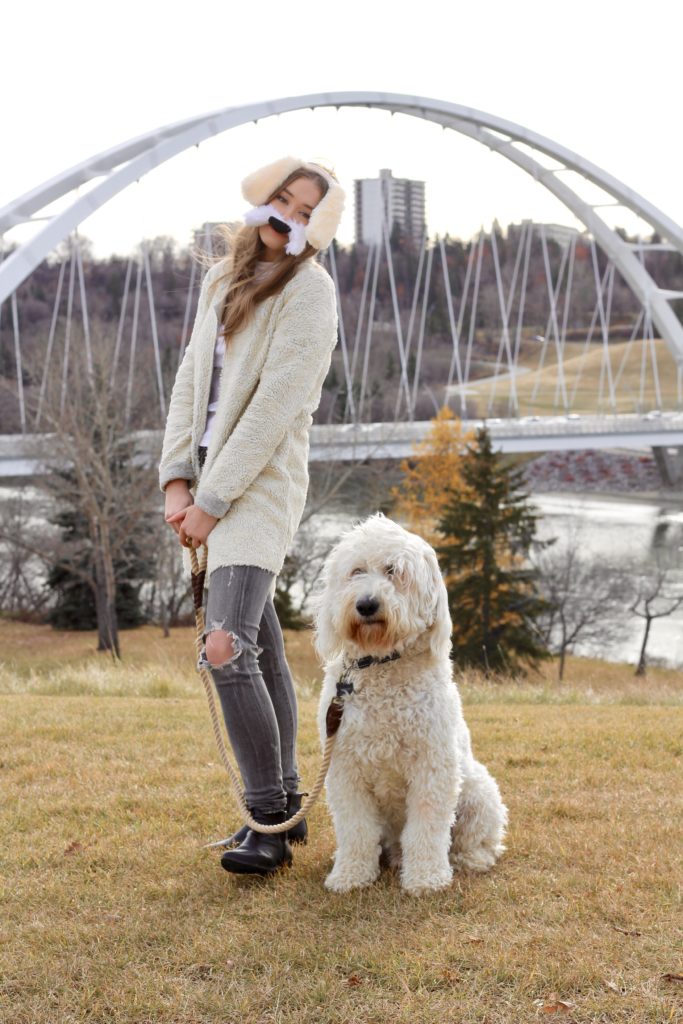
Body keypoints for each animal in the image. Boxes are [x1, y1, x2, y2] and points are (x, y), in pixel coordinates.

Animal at [313, 512, 507, 897]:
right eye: (357, 570)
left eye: (394, 571)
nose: (367, 604)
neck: (382, 663)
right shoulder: (345, 769)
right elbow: (356, 829)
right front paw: (351, 875)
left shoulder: (432, 767)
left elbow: (427, 829)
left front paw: (427, 879)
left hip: (478, 790)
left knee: (478, 837)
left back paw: (470, 858)